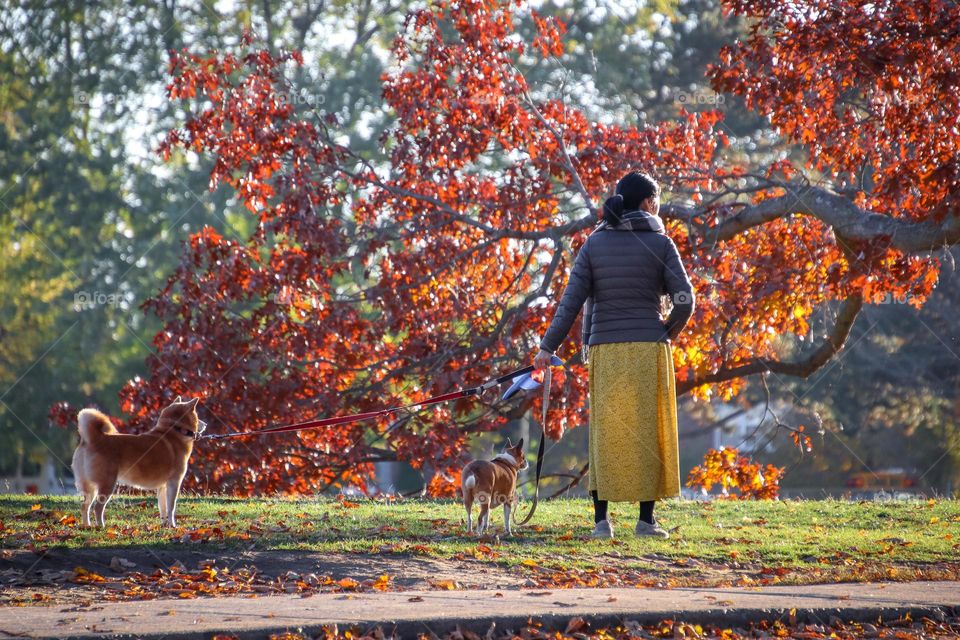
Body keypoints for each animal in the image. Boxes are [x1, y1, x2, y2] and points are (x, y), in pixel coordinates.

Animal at [71, 398, 206, 528]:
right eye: (198, 415)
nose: (205, 424)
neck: (174, 430)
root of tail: (94, 439)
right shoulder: (174, 482)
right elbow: (171, 508)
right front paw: (173, 525)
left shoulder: (162, 487)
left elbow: (163, 509)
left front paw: (165, 525)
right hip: (107, 485)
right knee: (97, 508)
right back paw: (101, 526)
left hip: (90, 487)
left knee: (85, 507)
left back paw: (87, 526)